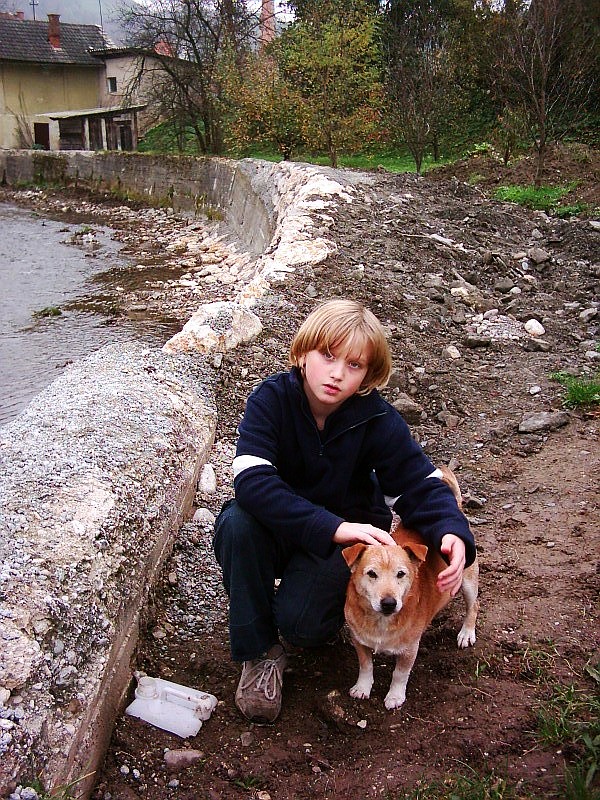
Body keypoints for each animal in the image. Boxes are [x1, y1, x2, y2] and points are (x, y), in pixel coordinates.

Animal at [342, 466, 478, 708]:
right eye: (371, 574)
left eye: (401, 574)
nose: (389, 603)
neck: (381, 622)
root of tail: (457, 507)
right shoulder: (359, 641)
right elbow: (366, 666)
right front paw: (363, 687)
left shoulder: (409, 649)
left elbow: (399, 674)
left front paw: (395, 696)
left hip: (467, 577)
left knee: (474, 606)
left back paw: (466, 633)